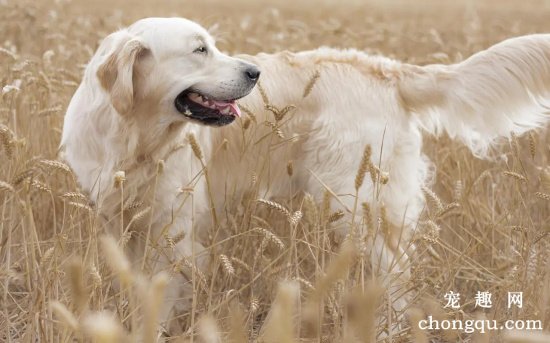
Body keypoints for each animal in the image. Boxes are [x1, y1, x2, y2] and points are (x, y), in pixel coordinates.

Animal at [60, 16, 550, 330]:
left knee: (395, 279)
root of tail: (386, 70)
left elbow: (161, 295)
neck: (134, 137)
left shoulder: (172, 231)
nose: (254, 71)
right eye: (200, 50)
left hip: (356, 204)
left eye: (212, 45)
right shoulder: (119, 220)